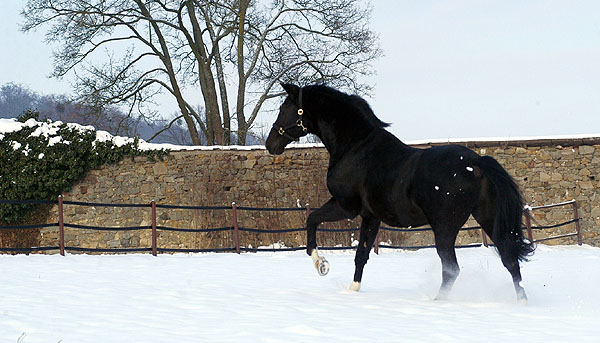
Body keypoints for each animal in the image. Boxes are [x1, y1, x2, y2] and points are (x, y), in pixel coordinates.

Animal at [268, 84, 536, 304]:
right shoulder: (370, 217)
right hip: (488, 219)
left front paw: (322, 265)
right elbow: (361, 254)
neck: (355, 147)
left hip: (445, 227)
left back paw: (437, 301)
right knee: (509, 259)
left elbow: (312, 220)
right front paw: (352, 290)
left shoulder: (345, 206)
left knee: (452, 268)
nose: (271, 144)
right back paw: (522, 302)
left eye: (284, 107)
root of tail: (476, 162)